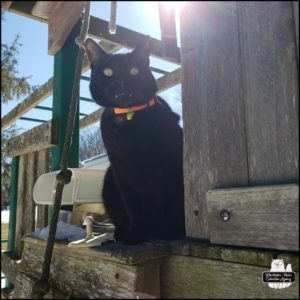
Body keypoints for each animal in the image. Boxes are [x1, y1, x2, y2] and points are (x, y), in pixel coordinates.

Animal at [84, 36, 185, 245]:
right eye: (108, 72)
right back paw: (121, 233)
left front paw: (170, 230)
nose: (122, 85)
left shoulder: (173, 165)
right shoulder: (122, 173)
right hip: (109, 179)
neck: (128, 118)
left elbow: (172, 199)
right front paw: (135, 234)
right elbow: (133, 206)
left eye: (134, 71)